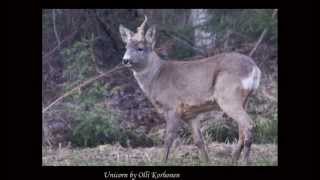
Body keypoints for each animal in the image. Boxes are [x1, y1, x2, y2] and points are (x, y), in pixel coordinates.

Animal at [119, 15, 262, 165]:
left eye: (140, 48)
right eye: (126, 47)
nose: (125, 60)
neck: (156, 76)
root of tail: (255, 68)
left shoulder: (172, 106)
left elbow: (168, 138)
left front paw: (162, 161)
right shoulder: (190, 114)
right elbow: (199, 141)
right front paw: (206, 161)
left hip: (228, 97)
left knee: (249, 125)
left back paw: (244, 160)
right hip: (244, 100)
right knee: (242, 130)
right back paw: (233, 159)